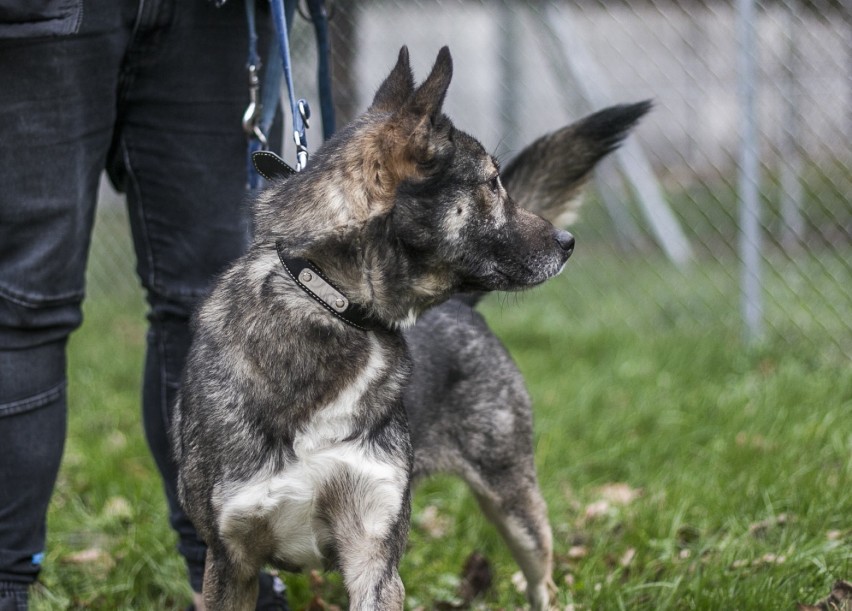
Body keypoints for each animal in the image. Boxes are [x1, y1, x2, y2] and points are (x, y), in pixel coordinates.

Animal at [170, 47, 588, 611]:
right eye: (491, 183)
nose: (568, 242)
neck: (332, 304)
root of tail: (465, 307)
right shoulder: (229, 559)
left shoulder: (375, 553)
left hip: (515, 500)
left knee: (542, 579)